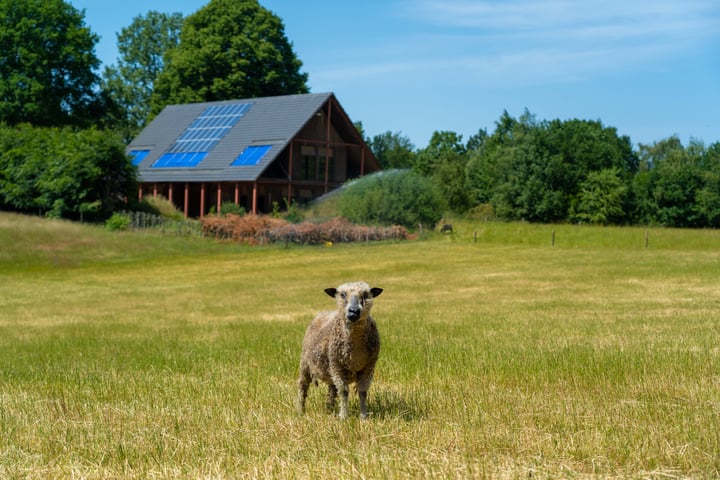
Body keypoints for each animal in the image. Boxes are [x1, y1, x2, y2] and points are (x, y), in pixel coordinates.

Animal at [296, 280, 386, 418]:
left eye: (365, 295)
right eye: (342, 294)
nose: (354, 311)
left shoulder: (368, 367)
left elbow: (363, 392)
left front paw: (363, 416)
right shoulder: (337, 366)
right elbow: (343, 392)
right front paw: (344, 416)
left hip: (330, 369)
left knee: (332, 389)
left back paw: (330, 408)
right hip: (306, 364)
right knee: (303, 385)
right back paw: (300, 410)